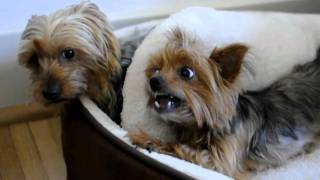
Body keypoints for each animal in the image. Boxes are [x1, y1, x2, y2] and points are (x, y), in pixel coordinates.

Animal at [130, 27, 320, 178]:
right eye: (156, 69)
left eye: (186, 72)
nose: (153, 81)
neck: (200, 127)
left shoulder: (223, 160)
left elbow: (187, 150)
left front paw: (150, 141)